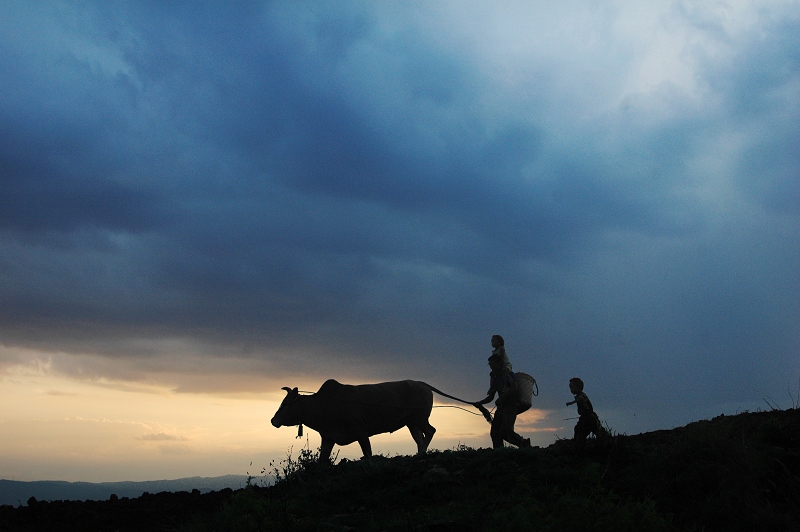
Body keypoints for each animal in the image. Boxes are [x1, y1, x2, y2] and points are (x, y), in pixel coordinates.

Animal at [276, 378, 438, 462]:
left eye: (284, 404)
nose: (273, 420)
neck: (325, 404)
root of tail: (421, 383)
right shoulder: (328, 438)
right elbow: (322, 459)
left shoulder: (361, 432)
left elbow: (368, 453)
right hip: (411, 423)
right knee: (419, 438)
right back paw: (419, 455)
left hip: (420, 419)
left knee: (430, 431)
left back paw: (422, 454)